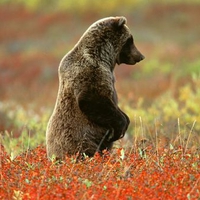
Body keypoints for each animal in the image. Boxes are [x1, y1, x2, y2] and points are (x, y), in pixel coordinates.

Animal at [46, 16, 145, 161]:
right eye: (130, 40)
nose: (140, 56)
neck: (104, 58)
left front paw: (126, 120)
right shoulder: (90, 73)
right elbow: (92, 100)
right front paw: (120, 129)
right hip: (80, 140)